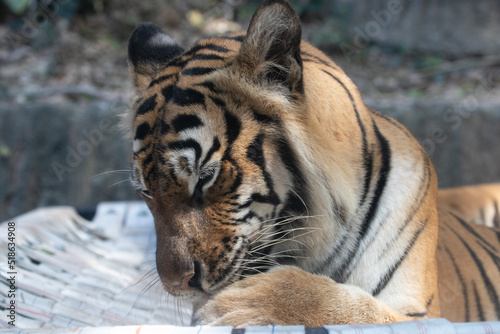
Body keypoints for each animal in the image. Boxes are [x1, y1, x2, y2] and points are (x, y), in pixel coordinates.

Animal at [126, 0, 500, 326]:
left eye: (206, 178)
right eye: (146, 192)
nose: (175, 285)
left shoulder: (422, 313)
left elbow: (349, 303)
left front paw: (239, 304)